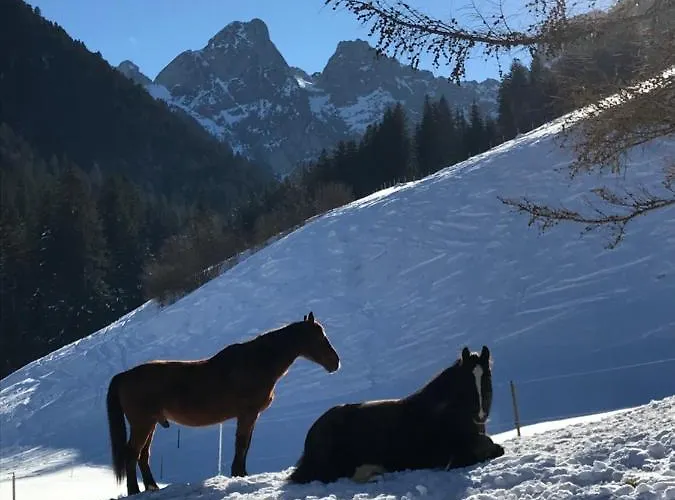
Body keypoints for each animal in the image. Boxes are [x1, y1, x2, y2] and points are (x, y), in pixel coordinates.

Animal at [106, 311, 340, 496]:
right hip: (142, 423)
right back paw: (134, 490)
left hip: (151, 423)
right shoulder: (247, 414)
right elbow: (242, 444)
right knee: (132, 454)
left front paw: (242, 474)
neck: (257, 362)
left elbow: (245, 445)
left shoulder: (250, 416)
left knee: (143, 456)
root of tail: (125, 375)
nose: (336, 362)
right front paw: (238, 474)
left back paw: (151, 487)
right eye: (320, 338)